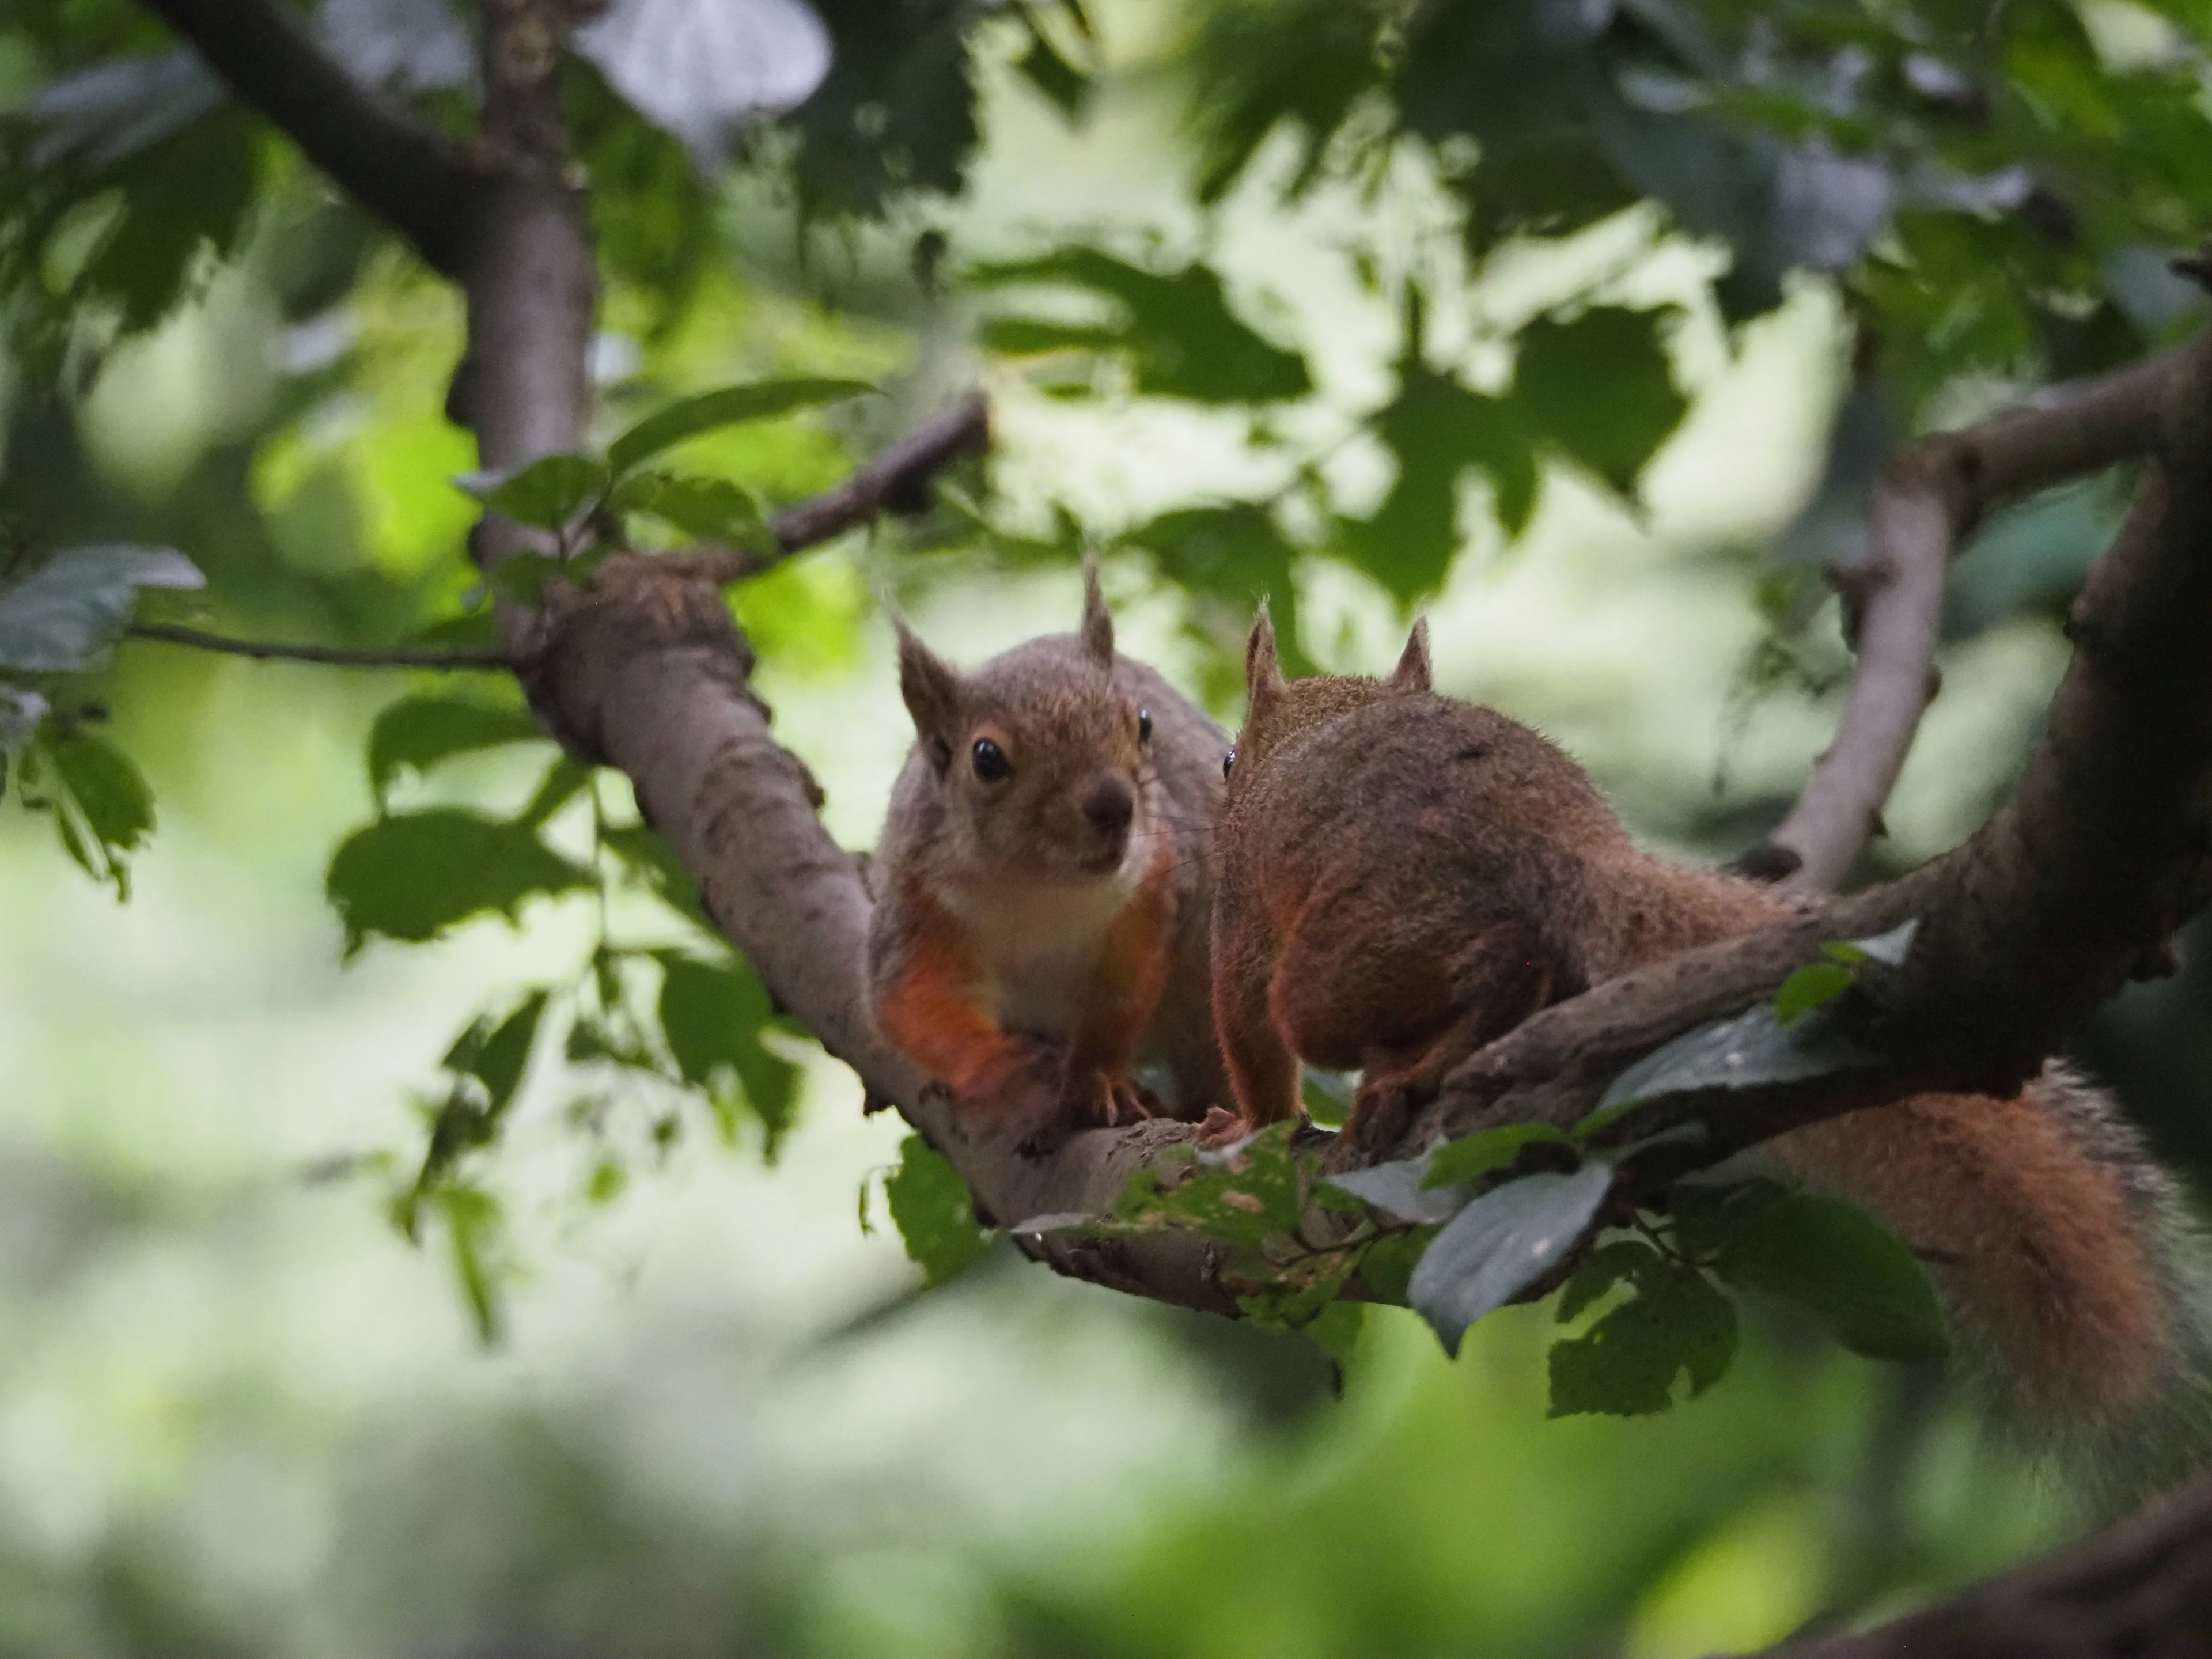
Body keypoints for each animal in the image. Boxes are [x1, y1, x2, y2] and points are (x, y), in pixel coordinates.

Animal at [862, 566, 1238, 1150]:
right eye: (986, 758)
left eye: (1144, 723)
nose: (1114, 805)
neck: (1039, 887)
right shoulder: (915, 902)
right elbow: (910, 1001)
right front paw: (1003, 1070)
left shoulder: (1159, 885)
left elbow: (1120, 996)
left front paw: (1099, 1078)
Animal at [1212, 615, 2212, 1504]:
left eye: (1226, 763)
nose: (1220, 781)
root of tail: (1553, 841)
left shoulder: (1245, 928)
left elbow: (1250, 1044)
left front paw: (1243, 1125)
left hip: (1337, 969)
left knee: (1443, 977)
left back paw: (1417, 1067)